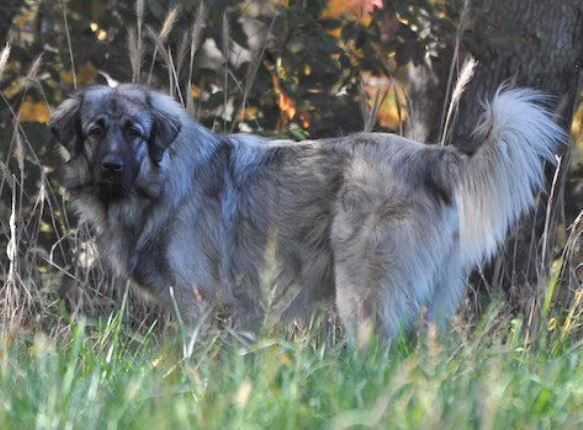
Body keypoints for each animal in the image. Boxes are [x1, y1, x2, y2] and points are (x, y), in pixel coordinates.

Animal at [50, 83, 564, 340]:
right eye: (96, 130)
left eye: (134, 132)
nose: (112, 167)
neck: (162, 182)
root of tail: (429, 157)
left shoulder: (196, 303)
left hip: (362, 297)